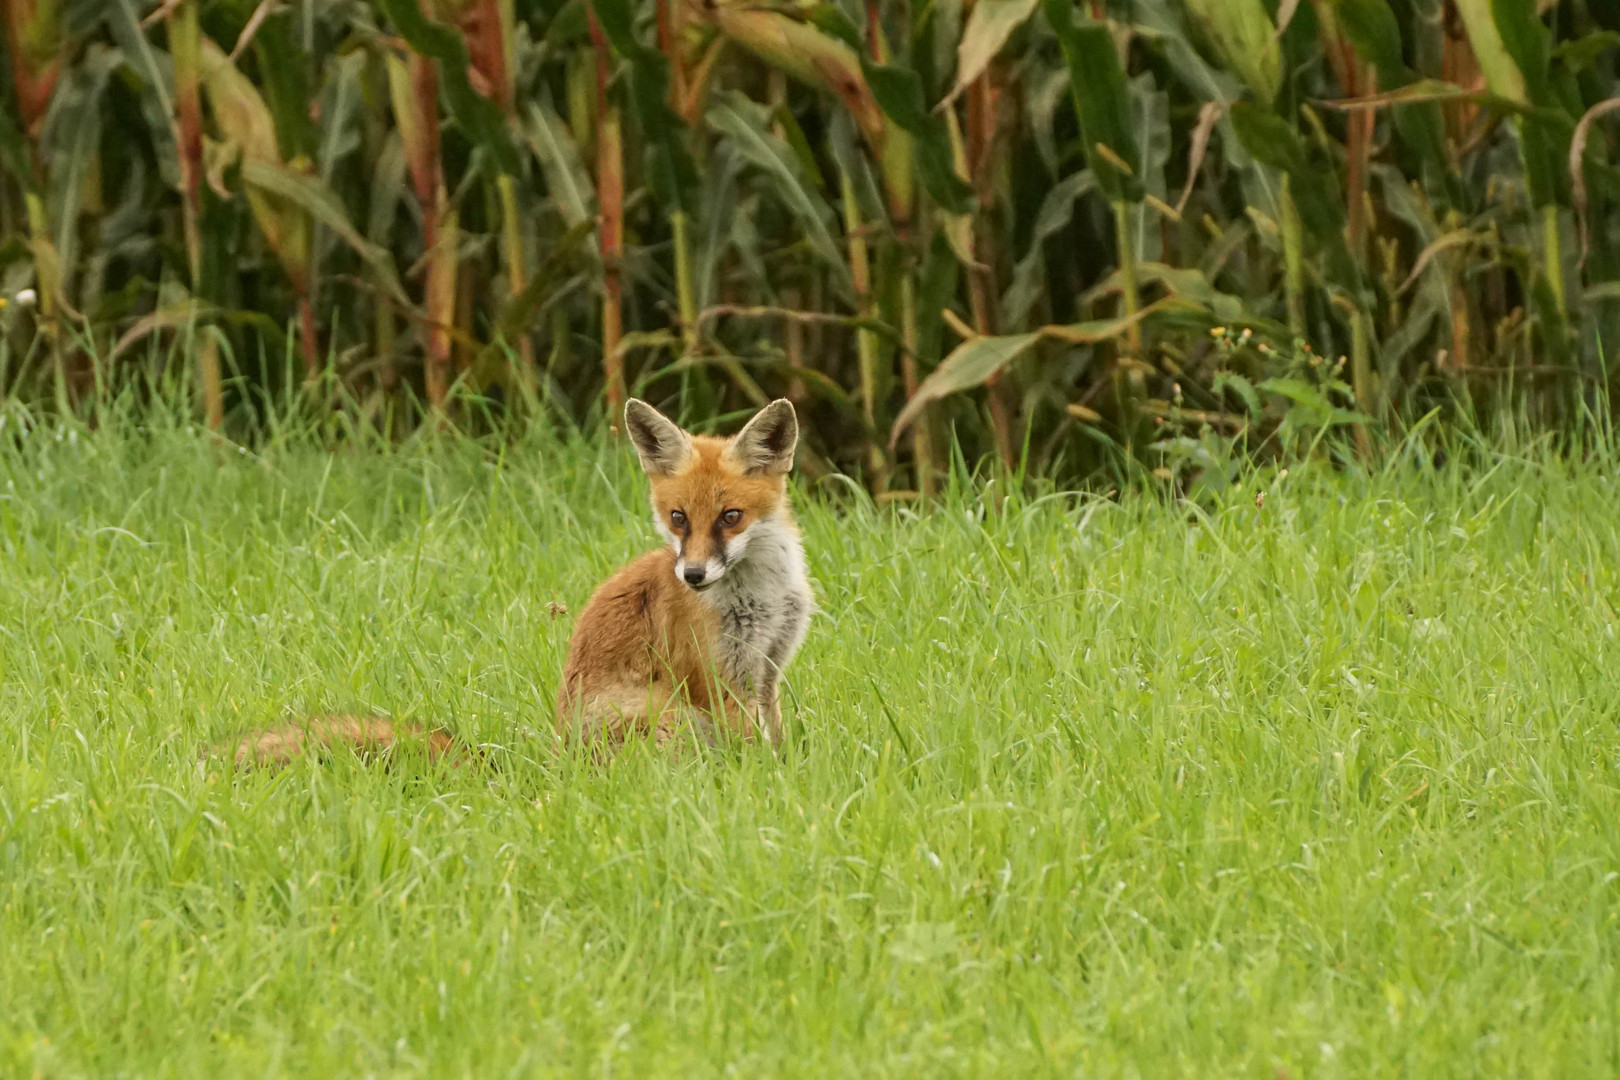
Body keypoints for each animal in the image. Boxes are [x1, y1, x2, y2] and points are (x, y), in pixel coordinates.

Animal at [215, 399, 816, 767]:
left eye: (730, 517)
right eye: (678, 519)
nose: (691, 576)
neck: (760, 594)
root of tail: (555, 762)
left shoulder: (767, 671)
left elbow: (777, 739)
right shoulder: (716, 680)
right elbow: (753, 751)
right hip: (666, 713)